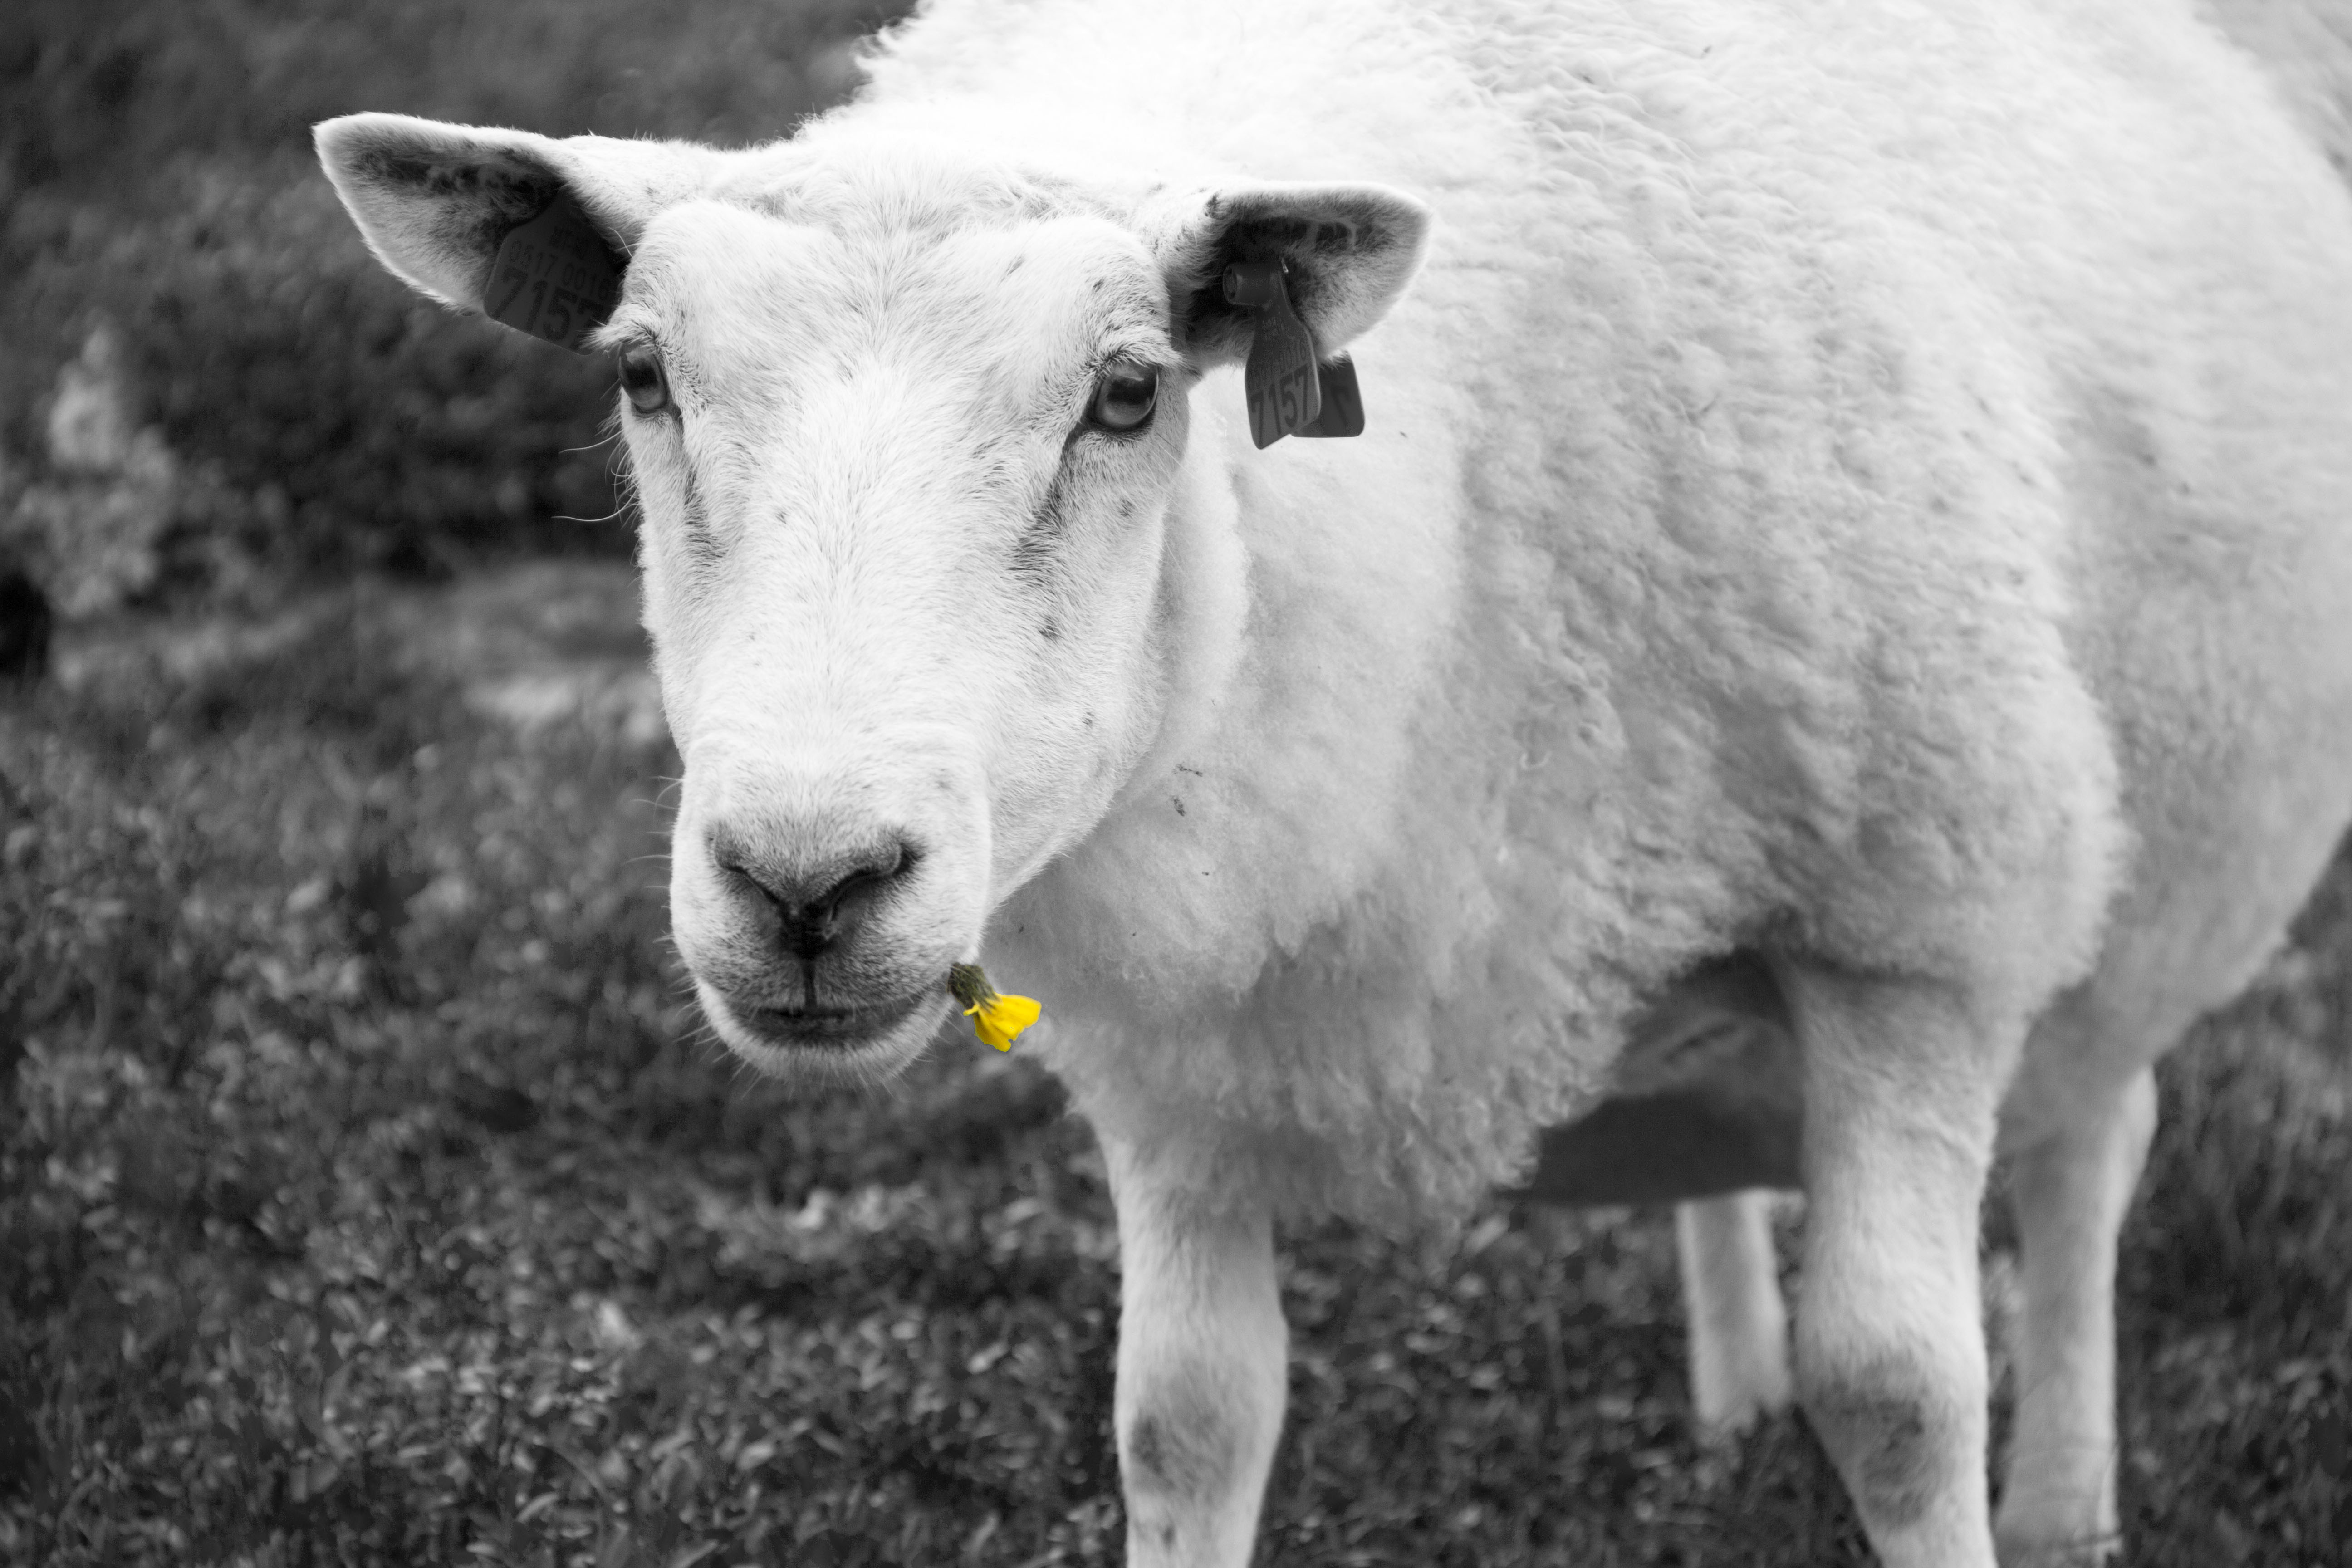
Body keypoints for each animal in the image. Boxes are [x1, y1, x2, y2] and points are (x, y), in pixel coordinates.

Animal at [312, 0, 2352, 1562]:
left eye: (1129, 394)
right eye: (643, 375)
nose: (806, 883)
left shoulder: (1908, 938)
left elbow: (1907, 1396)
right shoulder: (1173, 1062)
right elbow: (1184, 1420)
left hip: (2106, 893)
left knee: (2090, 1157)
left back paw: (2071, 1501)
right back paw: (1729, 1393)